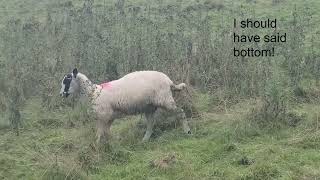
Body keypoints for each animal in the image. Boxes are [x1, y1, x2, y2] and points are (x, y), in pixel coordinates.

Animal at [59, 68, 190, 144]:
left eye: (67, 80)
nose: (61, 94)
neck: (93, 92)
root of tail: (169, 81)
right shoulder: (109, 117)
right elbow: (107, 132)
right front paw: (113, 143)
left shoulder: (103, 116)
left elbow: (100, 133)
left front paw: (97, 145)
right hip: (149, 107)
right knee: (150, 124)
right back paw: (144, 140)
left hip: (165, 100)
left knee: (181, 112)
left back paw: (187, 131)